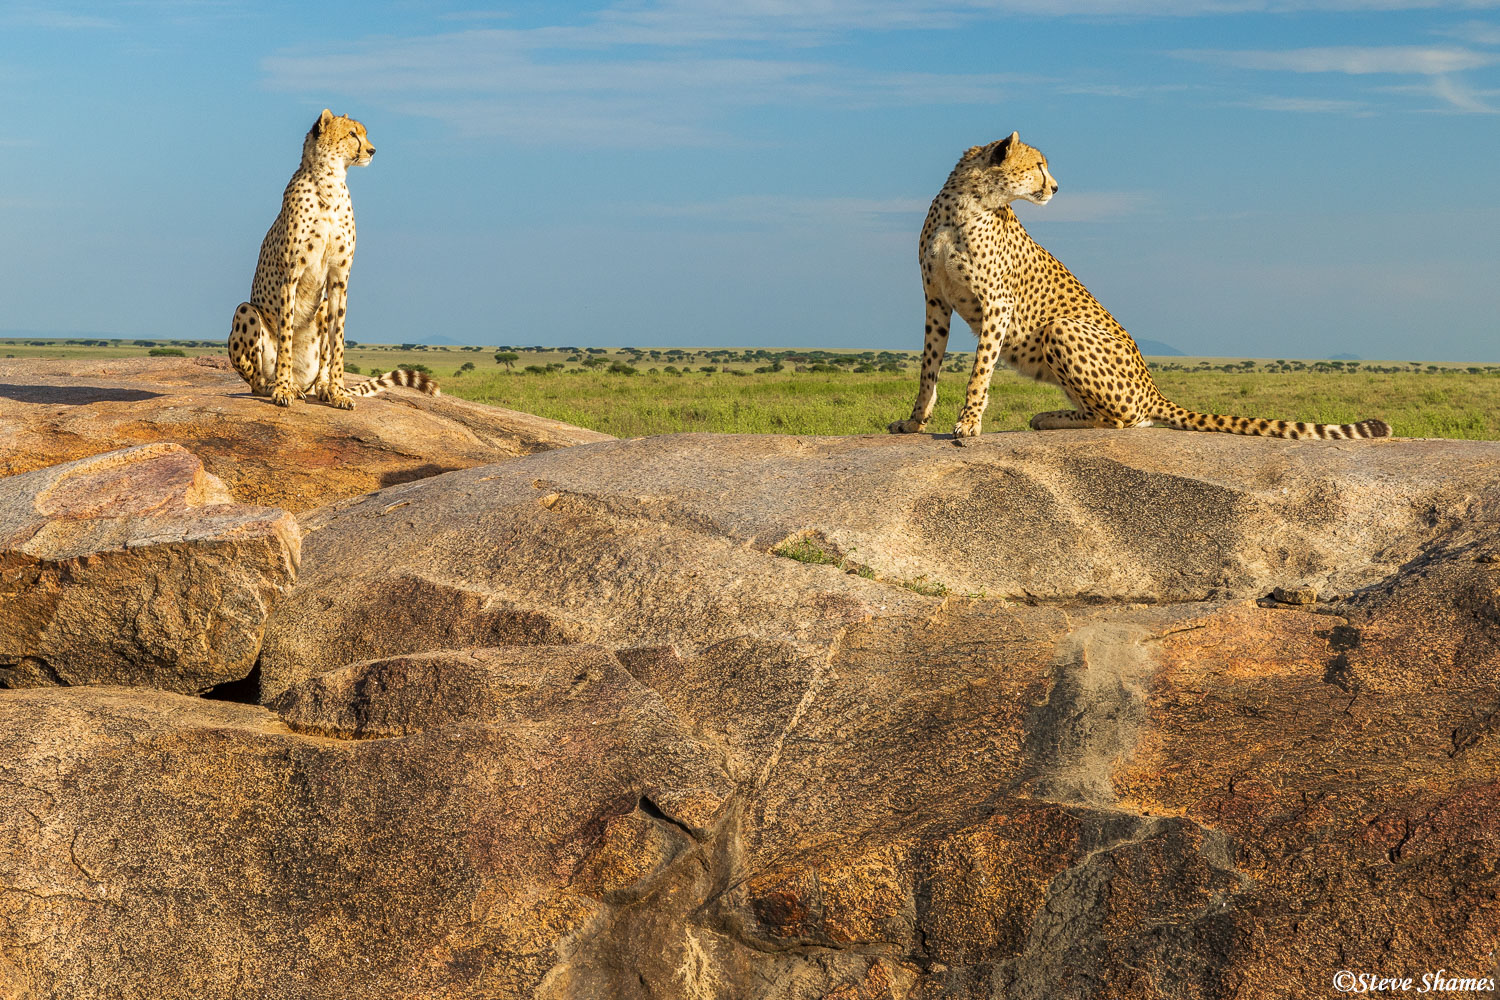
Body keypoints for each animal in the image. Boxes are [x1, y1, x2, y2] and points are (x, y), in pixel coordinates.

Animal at [222, 108, 438, 407]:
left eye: (364, 133)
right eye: (352, 134)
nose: (372, 150)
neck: (330, 182)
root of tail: (305, 382)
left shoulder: (339, 277)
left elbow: (339, 340)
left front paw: (337, 391)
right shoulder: (290, 274)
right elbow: (286, 335)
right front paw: (282, 389)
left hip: (321, 307)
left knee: (318, 369)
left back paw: (321, 387)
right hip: (246, 310)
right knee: (255, 380)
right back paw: (277, 385)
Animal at [888, 132, 1392, 446]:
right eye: (1038, 166)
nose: (1057, 186)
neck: (968, 202)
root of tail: (1153, 386)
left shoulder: (997, 303)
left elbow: (979, 371)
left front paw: (968, 424)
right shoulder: (936, 299)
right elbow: (929, 368)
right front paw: (916, 422)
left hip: (1062, 328)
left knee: (1123, 419)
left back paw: (1049, 418)